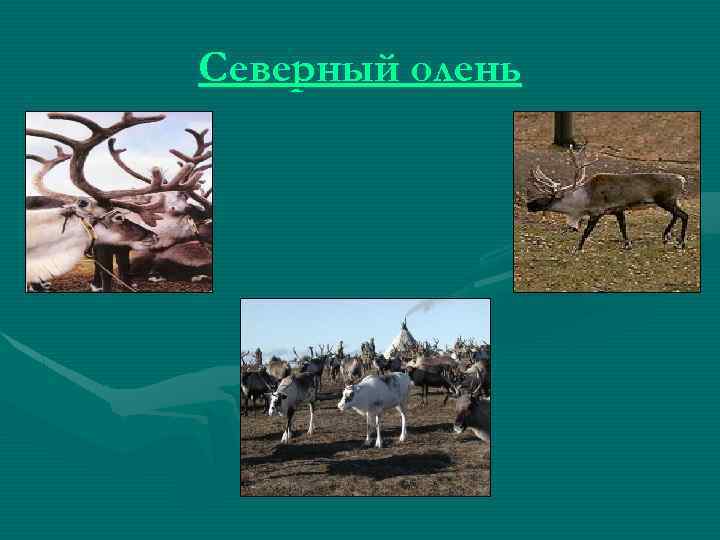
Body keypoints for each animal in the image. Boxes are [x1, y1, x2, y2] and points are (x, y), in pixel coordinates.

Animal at [526, 145, 689, 252]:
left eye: (548, 197)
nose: (529, 205)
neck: (583, 200)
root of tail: (681, 180)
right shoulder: (618, 210)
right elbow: (623, 227)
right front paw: (627, 244)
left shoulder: (597, 212)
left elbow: (587, 231)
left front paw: (578, 248)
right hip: (671, 201)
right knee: (677, 215)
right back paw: (666, 237)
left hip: (666, 200)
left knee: (684, 215)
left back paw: (680, 243)